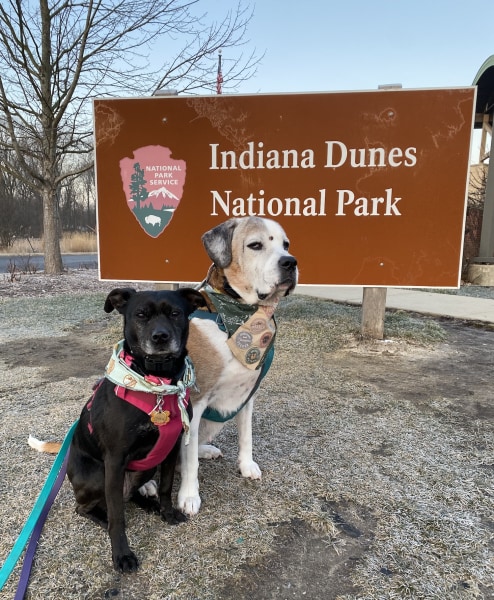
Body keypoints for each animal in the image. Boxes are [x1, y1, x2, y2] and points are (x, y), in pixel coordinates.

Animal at [65, 288, 205, 576]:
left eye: (176, 313)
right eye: (140, 315)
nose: (161, 337)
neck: (157, 384)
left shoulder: (171, 449)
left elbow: (166, 487)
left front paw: (166, 512)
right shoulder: (115, 459)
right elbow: (118, 517)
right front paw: (122, 555)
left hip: (144, 468)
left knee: (128, 496)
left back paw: (149, 504)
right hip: (99, 475)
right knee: (89, 507)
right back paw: (102, 517)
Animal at [179, 216, 300, 516]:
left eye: (286, 245)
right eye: (255, 245)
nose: (290, 262)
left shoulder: (247, 395)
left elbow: (246, 436)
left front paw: (246, 466)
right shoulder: (195, 402)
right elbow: (189, 462)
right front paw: (189, 496)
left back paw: (206, 450)